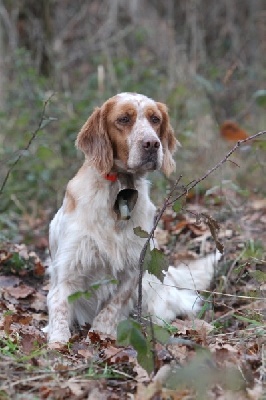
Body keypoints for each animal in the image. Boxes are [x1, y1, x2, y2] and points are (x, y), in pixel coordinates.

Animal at [46, 93, 220, 344]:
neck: (119, 190)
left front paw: (101, 335)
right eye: (124, 119)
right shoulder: (68, 270)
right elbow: (59, 308)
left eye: (155, 119)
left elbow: (111, 308)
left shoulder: (133, 267)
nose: (152, 144)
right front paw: (57, 343)